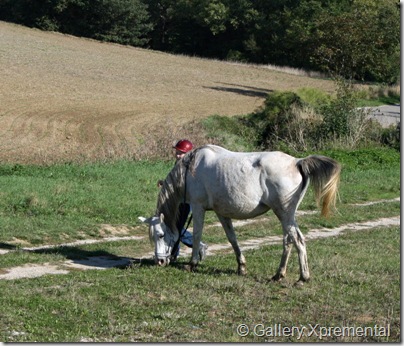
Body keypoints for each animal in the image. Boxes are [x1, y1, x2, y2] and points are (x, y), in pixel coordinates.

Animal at [140, 145, 340, 282]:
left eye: (160, 235)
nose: (159, 261)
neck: (190, 169)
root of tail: (297, 162)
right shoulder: (222, 213)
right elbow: (232, 239)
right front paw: (241, 267)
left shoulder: (197, 207)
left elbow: (196, 235)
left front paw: (192, 263)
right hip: (286, 216)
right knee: (289, 240)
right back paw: (278, 274)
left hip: (285, 214)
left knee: (297, 240)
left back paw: (303, 277)